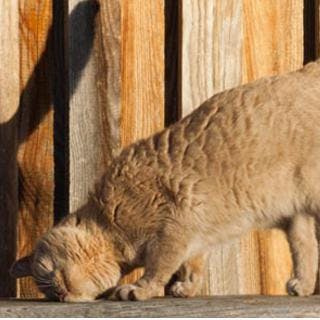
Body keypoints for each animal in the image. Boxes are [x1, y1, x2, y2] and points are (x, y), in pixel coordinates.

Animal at [10, 60, 320, 302]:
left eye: (48, 274)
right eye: (49, 292)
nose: (59, 294)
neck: (108, 218)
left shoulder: (173, 229)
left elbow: (159, 266)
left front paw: (140, 289)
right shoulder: (195, 237)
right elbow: (192, 265)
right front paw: (186, 288)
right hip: (295, 215)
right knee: (306, 248)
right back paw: (302, 286)